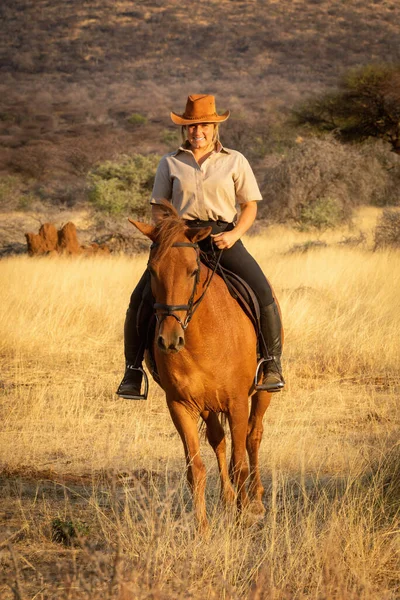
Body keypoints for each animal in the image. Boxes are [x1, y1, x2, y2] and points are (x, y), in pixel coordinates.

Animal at [130, 205, 276, 528]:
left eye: (193, 271)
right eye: (152, 270)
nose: (170, 340)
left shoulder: (236, 402)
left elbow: (239, 464)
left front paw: (242, 520)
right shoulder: (181, 405)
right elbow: (195, 469)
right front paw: (203, 529)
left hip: (262, 392)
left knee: (253, 436)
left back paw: (256, 501)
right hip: (208, 405)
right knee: (218, 441)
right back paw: (228, 500)